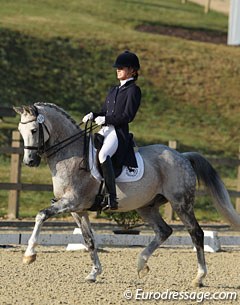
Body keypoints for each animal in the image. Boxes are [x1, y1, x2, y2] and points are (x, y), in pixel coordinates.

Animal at [14, 103, 239, 286]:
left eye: (34, 130)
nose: (29, 161)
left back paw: (199, 277)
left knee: (196, 233)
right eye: (20, 131)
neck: (71, 156)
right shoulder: (78, 210)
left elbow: (41, 215)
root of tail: (182, 156)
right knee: (164, 231)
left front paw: (29, 255)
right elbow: (89, 240)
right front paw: (94, 273)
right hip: (146, 206)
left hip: (181, 203)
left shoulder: (70, 202)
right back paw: (141, 264)